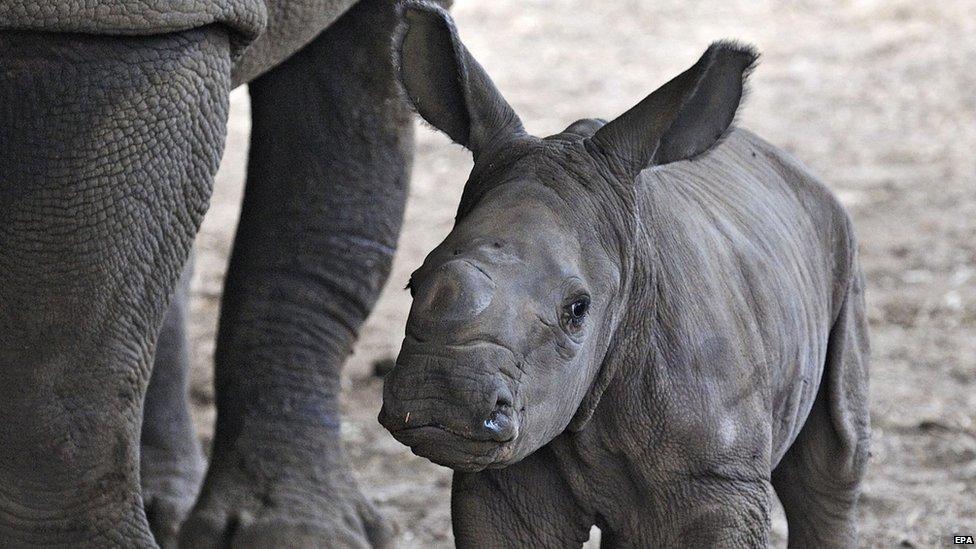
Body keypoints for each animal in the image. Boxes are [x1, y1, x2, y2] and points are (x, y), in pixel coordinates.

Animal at [380, 3, 871, 547]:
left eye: (578, 310)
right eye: (413, 282)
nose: (439, 394)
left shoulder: (722, 480)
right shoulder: (502, 480)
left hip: (839, 246)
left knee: (833, 460)